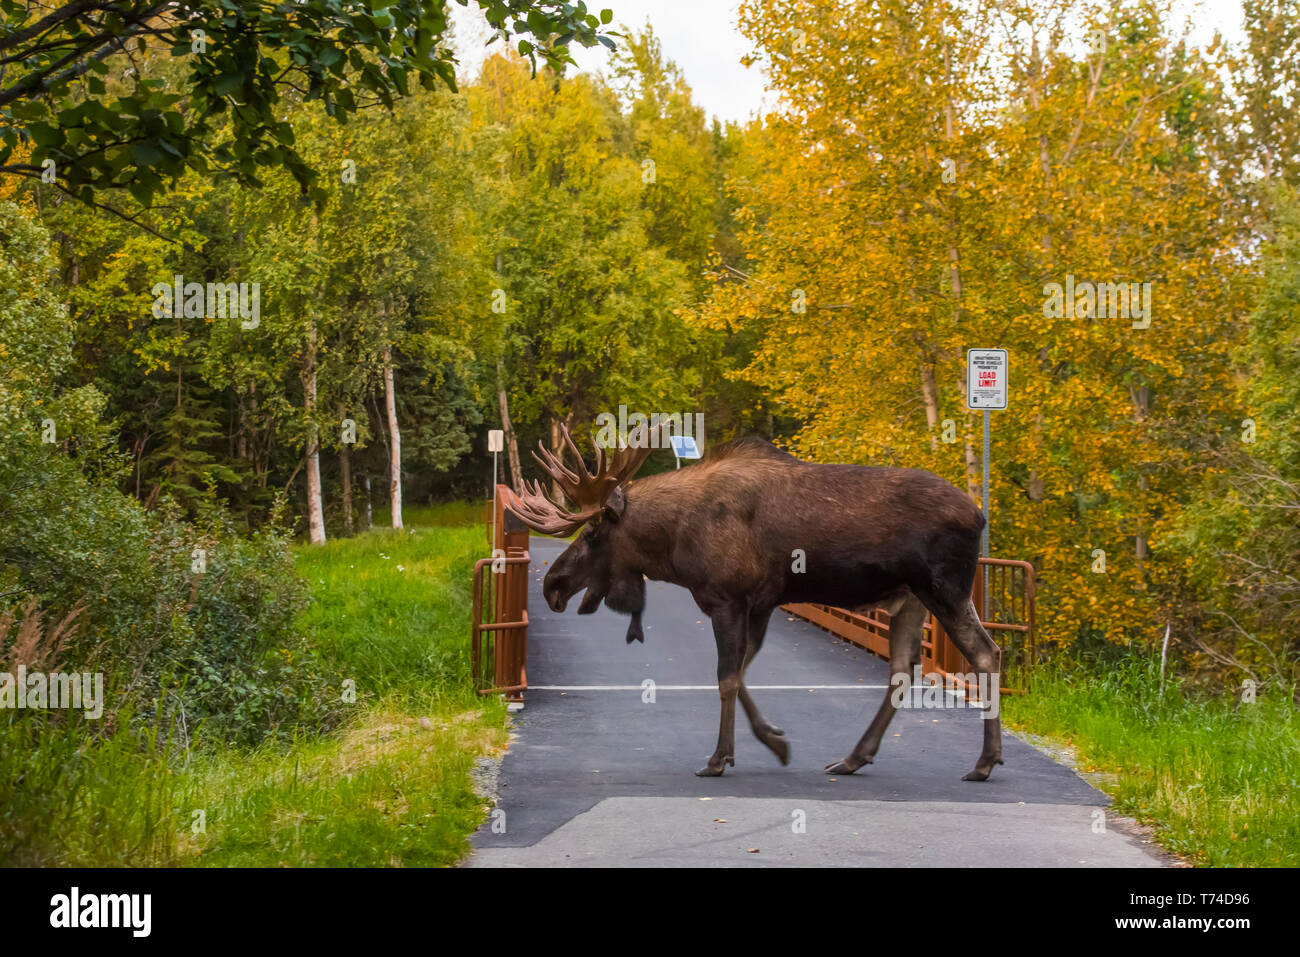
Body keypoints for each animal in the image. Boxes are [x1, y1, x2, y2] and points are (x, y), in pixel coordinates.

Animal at [499, 423, 1003, 780]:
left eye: (592, 533)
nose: (552, 585)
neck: (673, 545)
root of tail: (979, 516)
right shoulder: (759, 603)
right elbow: (739, 674)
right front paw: (774, 740)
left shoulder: (726, 598)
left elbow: (726, 677)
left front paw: (720, 757)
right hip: (911, 598)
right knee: (902, 669)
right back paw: (854, 758)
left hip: (944, 588)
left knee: (986, 652)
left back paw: (984, 762)